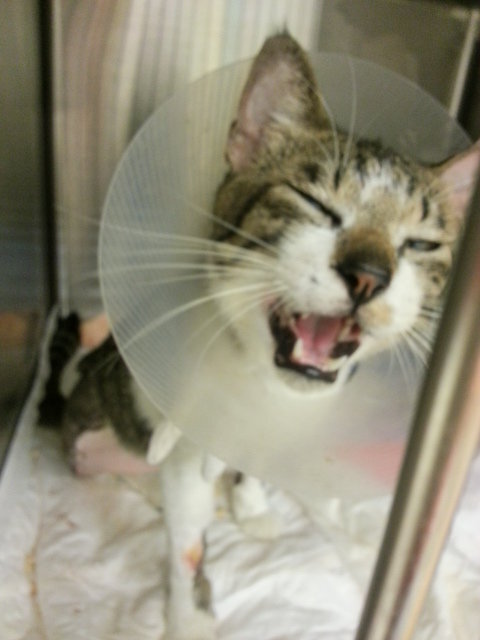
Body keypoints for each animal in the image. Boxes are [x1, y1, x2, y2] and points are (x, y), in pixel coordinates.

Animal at [40, 33, 479, 640]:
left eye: (420, 244)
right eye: (316, 204)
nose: (369, 274)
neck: (255, 380)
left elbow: (252, 461)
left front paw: (252, 505)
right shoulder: (191, 439)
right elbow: (187, 538)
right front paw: (188, 616)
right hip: (91, 438)